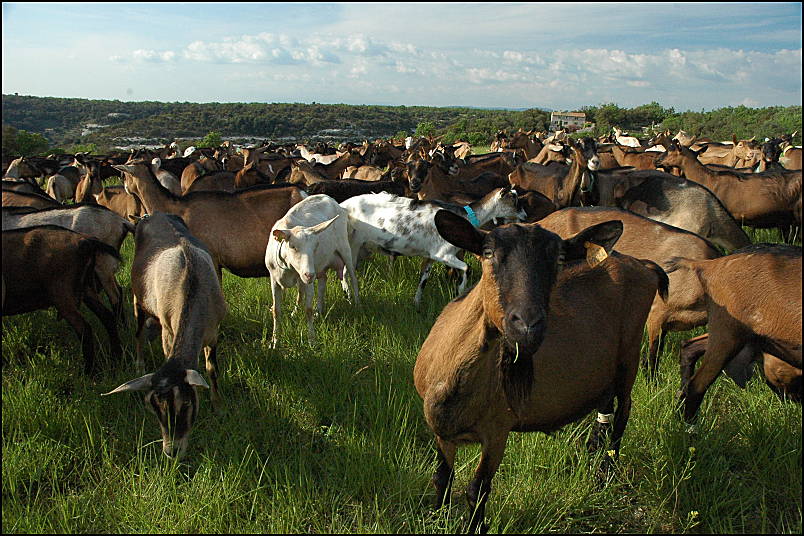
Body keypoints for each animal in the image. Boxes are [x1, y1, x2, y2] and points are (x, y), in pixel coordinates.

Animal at [103, 211, 228, 458]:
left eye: (186, 404)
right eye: (154, 409)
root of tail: (150, 215)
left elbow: (212, 370)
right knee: (139, 334)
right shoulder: (168, 330)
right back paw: (140, 364)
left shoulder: (213, 332)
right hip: (139, 300)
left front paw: (218, 407)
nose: (172, 451)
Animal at [414, 214, 664, 532]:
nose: (527, 325)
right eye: (487, 252)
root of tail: (643, 265)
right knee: (605, 412)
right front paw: (437, 517)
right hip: (603, 371)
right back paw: (594, 460)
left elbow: (477, 489)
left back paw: (605, 476)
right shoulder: (440, 431)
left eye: (559, 258)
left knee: (623, 413)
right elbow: (442, 478)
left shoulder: (497, 429)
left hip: (628, 356)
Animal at [664, 245, 804, 426]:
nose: (796, 398)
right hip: (726, 334)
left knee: (689, 347)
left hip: (737, 336)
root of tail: (708, 265)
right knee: (696, 385)